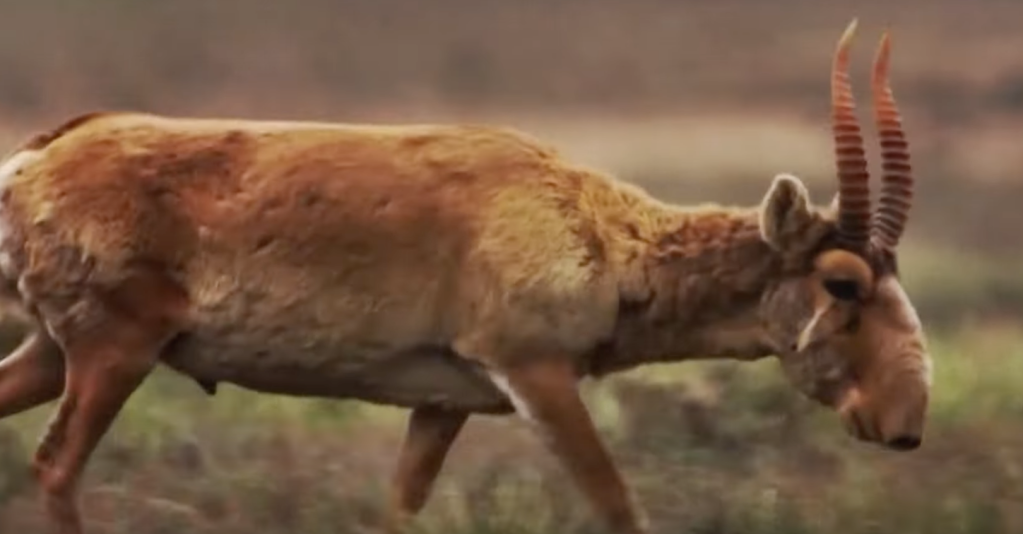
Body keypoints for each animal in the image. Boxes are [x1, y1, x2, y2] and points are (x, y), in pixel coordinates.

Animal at [0, 19, 928, 531]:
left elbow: (397, 511)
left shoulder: (441, 405)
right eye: (842, 282)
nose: (905, 423)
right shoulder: (534, 373)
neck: (593, 227)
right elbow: (616, 503)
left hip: (53, 352)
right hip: (114, 350)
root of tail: (36, 159)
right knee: (54, 466)